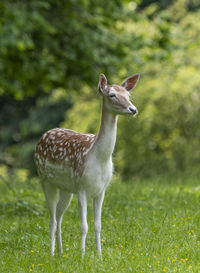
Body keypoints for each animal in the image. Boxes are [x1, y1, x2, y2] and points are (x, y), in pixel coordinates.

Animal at [34, 72, 140, 258]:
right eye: (112, 95)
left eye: (128, 95)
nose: (133, 109)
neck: (98, 158)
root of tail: (43, 135)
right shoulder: (81, 186)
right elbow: (84, 226)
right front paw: (83, 256)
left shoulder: (101, 189)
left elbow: (98, 225)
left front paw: (100, 256)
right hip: (45, 180)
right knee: (52, 219)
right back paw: (52, 254)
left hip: (66, 189)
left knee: (59, 216)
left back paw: (61, 252)